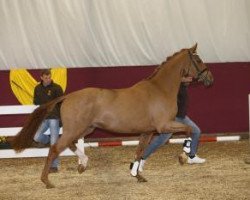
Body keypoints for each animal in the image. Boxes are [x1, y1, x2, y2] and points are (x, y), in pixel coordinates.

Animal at [9, 43, 213, 188]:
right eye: (198, 60)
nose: (210, 79)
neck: (159, 89)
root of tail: (68, 96)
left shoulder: (148, 131)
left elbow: (140, 151)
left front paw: (137, 174)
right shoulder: (164, 126)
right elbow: (189, 130)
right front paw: (184, 155)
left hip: (85, 129)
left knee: (69, 144)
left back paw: (82, 164)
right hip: (76, 129)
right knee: (54, 148)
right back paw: (47, 181)